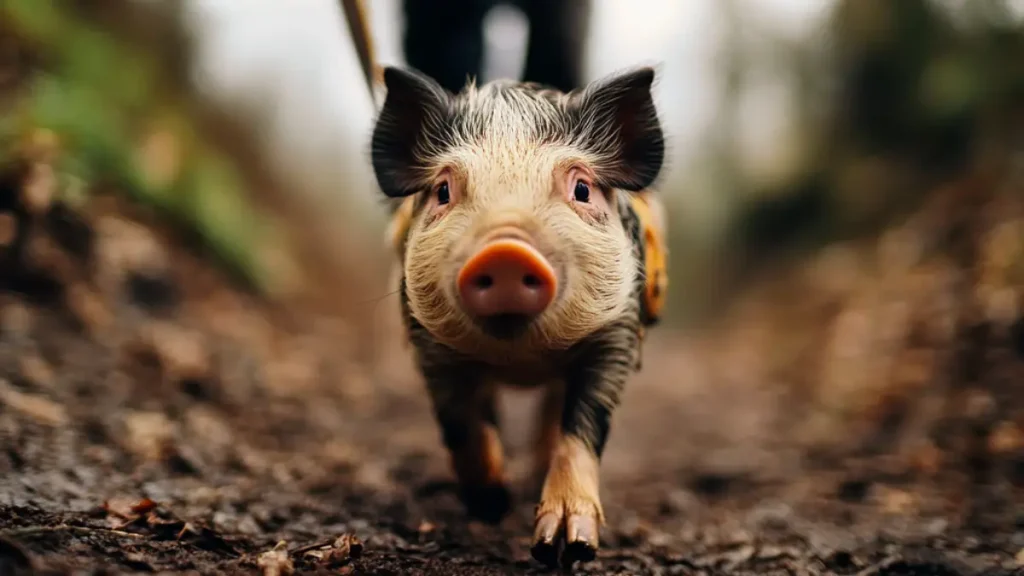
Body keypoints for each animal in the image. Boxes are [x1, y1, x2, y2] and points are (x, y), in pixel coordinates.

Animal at [370, 64, 669, 568]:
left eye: (582, 189)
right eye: (443, 191)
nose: (506, 251)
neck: (522, 360)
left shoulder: (618, 333)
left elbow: (584, 426)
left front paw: (566, 549)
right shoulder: (428, 343)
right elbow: (460, 423)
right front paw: (491, 505)